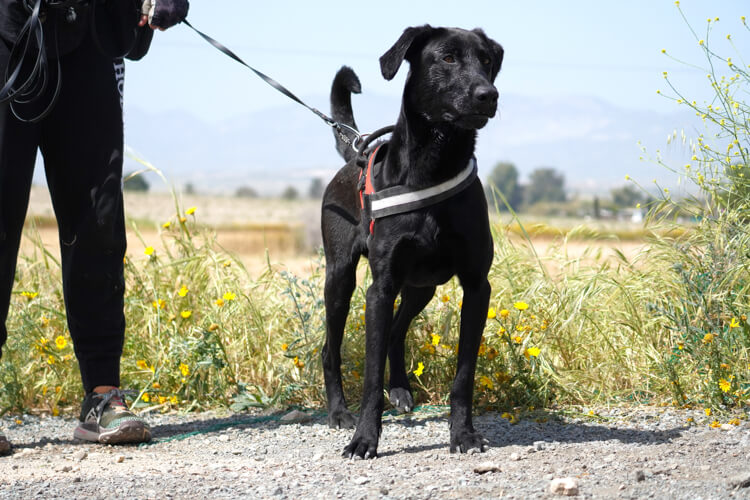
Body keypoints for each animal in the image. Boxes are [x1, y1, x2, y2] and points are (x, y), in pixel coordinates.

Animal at [320, 25, 502, 458]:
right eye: (447, 58)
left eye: (487, 60)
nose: (488, 94)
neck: (434, 165)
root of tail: (356, 154)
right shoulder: (380, 288)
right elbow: (370, 380)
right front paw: (364, 439)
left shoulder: (477, 287)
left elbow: (464, 376)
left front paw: (463, 434)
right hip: (341, 280)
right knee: (329, 351)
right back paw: (339, 413)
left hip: (422, 286)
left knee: (397, 331)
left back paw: (401, 390)